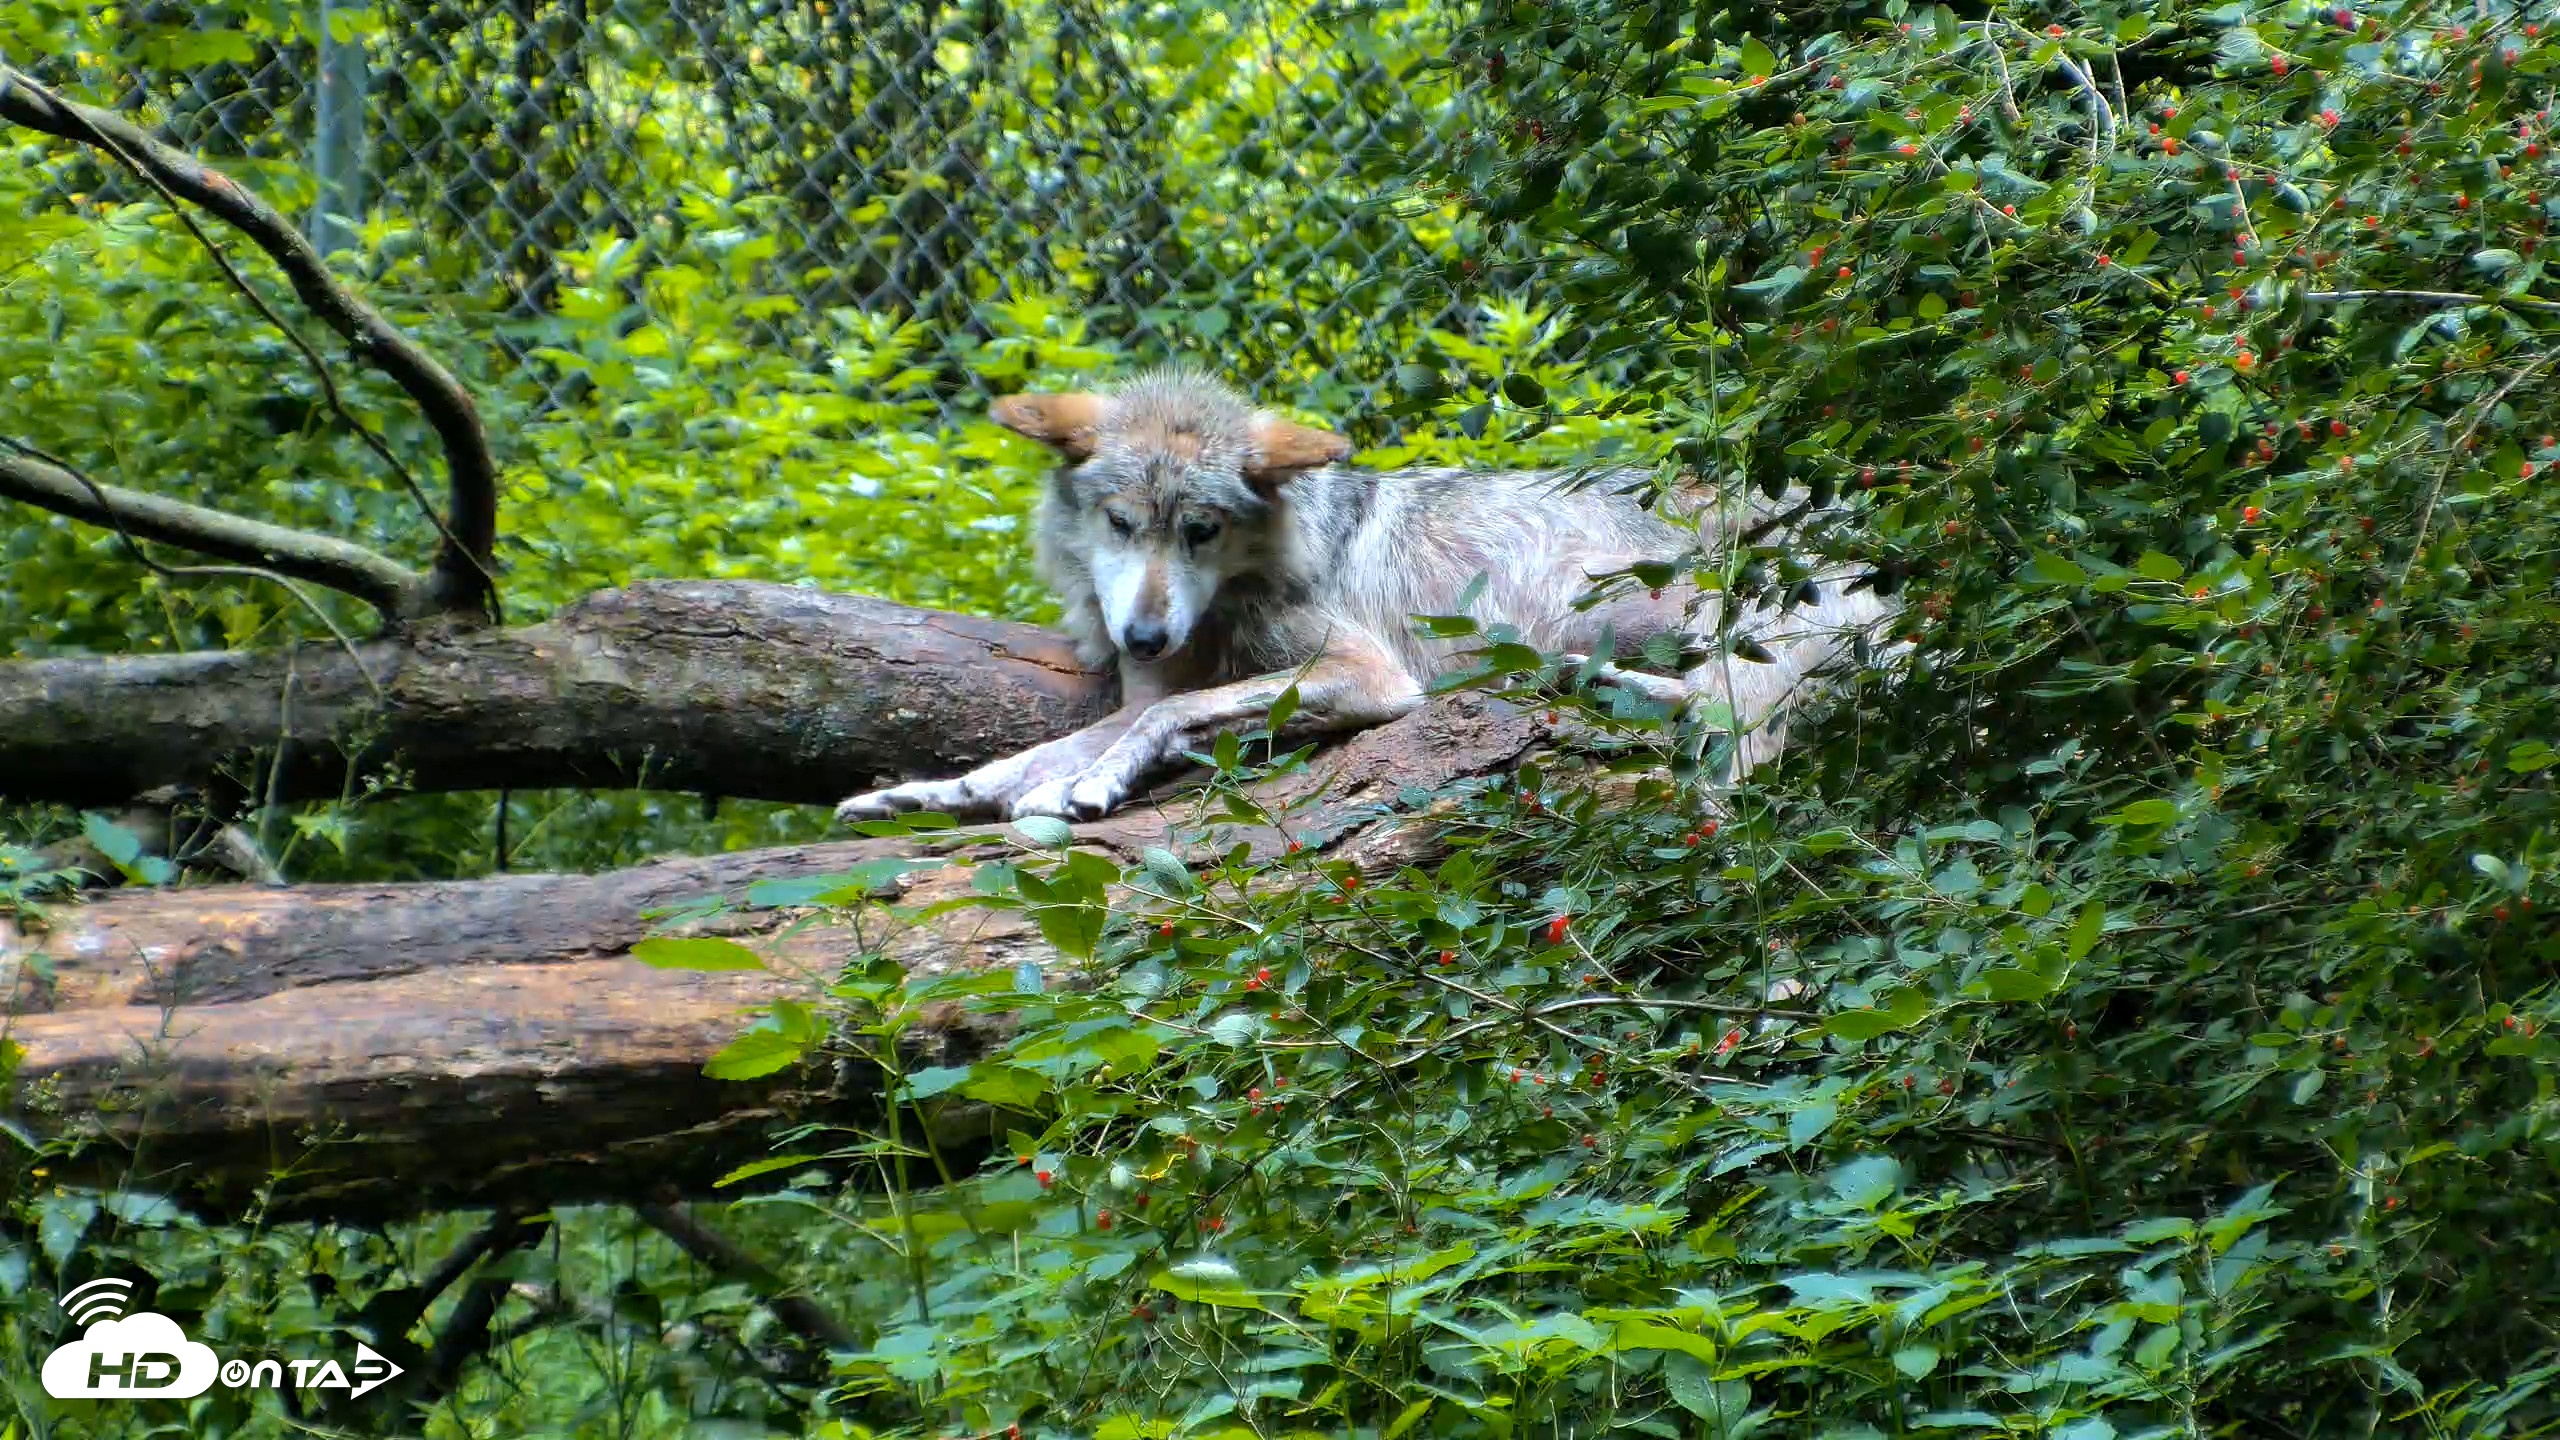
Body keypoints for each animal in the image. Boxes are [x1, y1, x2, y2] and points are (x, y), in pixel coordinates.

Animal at [834, 368, 1901, 825]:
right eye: (1122, 524)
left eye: (1200, 530)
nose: (1142, 638)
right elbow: (1050, 747)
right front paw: (925, 794)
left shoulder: (1371, 676)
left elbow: (1166, 717)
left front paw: (1087, 786)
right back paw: (1583, 681)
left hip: (1743, 663)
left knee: (1725, 757)